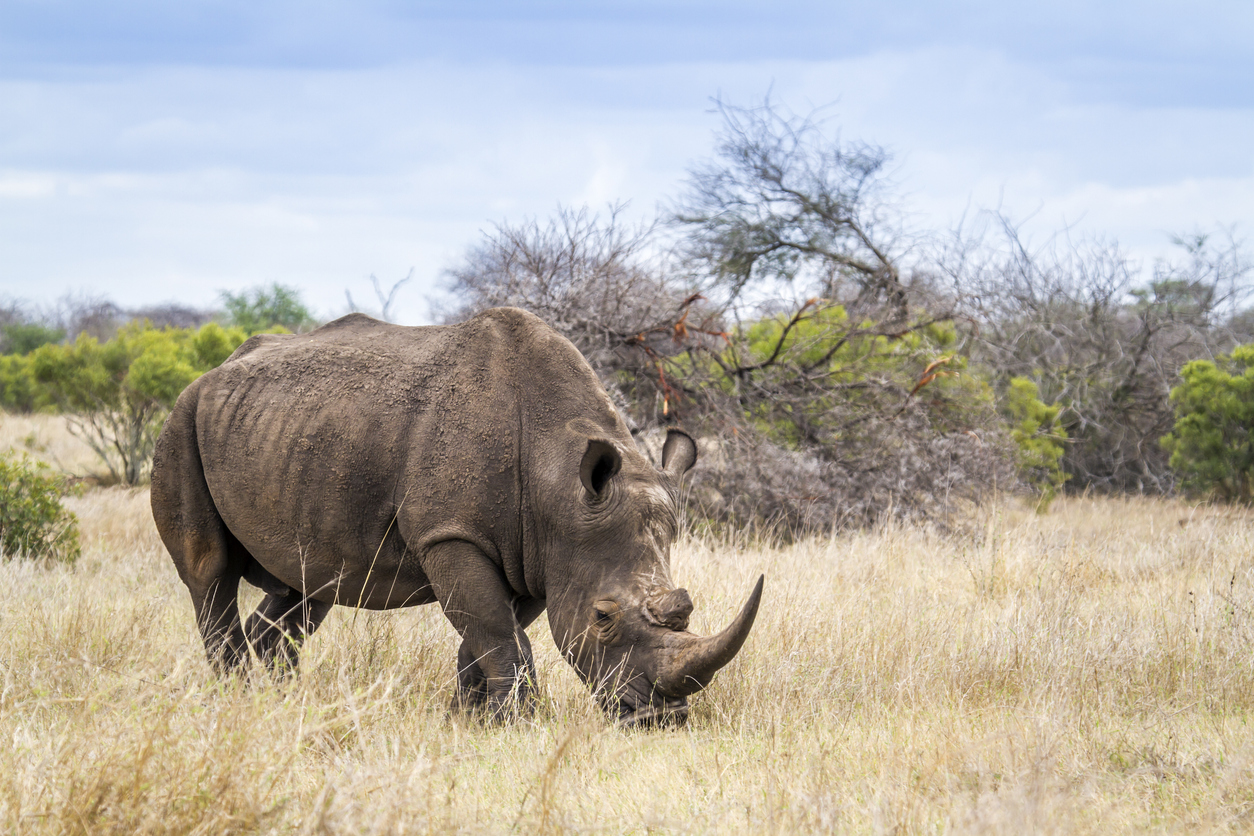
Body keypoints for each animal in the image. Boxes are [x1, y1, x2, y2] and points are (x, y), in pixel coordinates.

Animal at [150, 307, 763, 726]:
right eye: (603, 617)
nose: (660, 719)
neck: (559, 485)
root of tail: (216, 370)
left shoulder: (533, 553)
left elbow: (492, 634)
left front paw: (471, 719)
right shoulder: (451, 535)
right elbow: (495, 629)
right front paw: (520, 722)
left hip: (285, 439)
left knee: (305, 588)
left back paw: (274, 699)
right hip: (182, 420)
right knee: (210, 573)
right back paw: (235, 697)